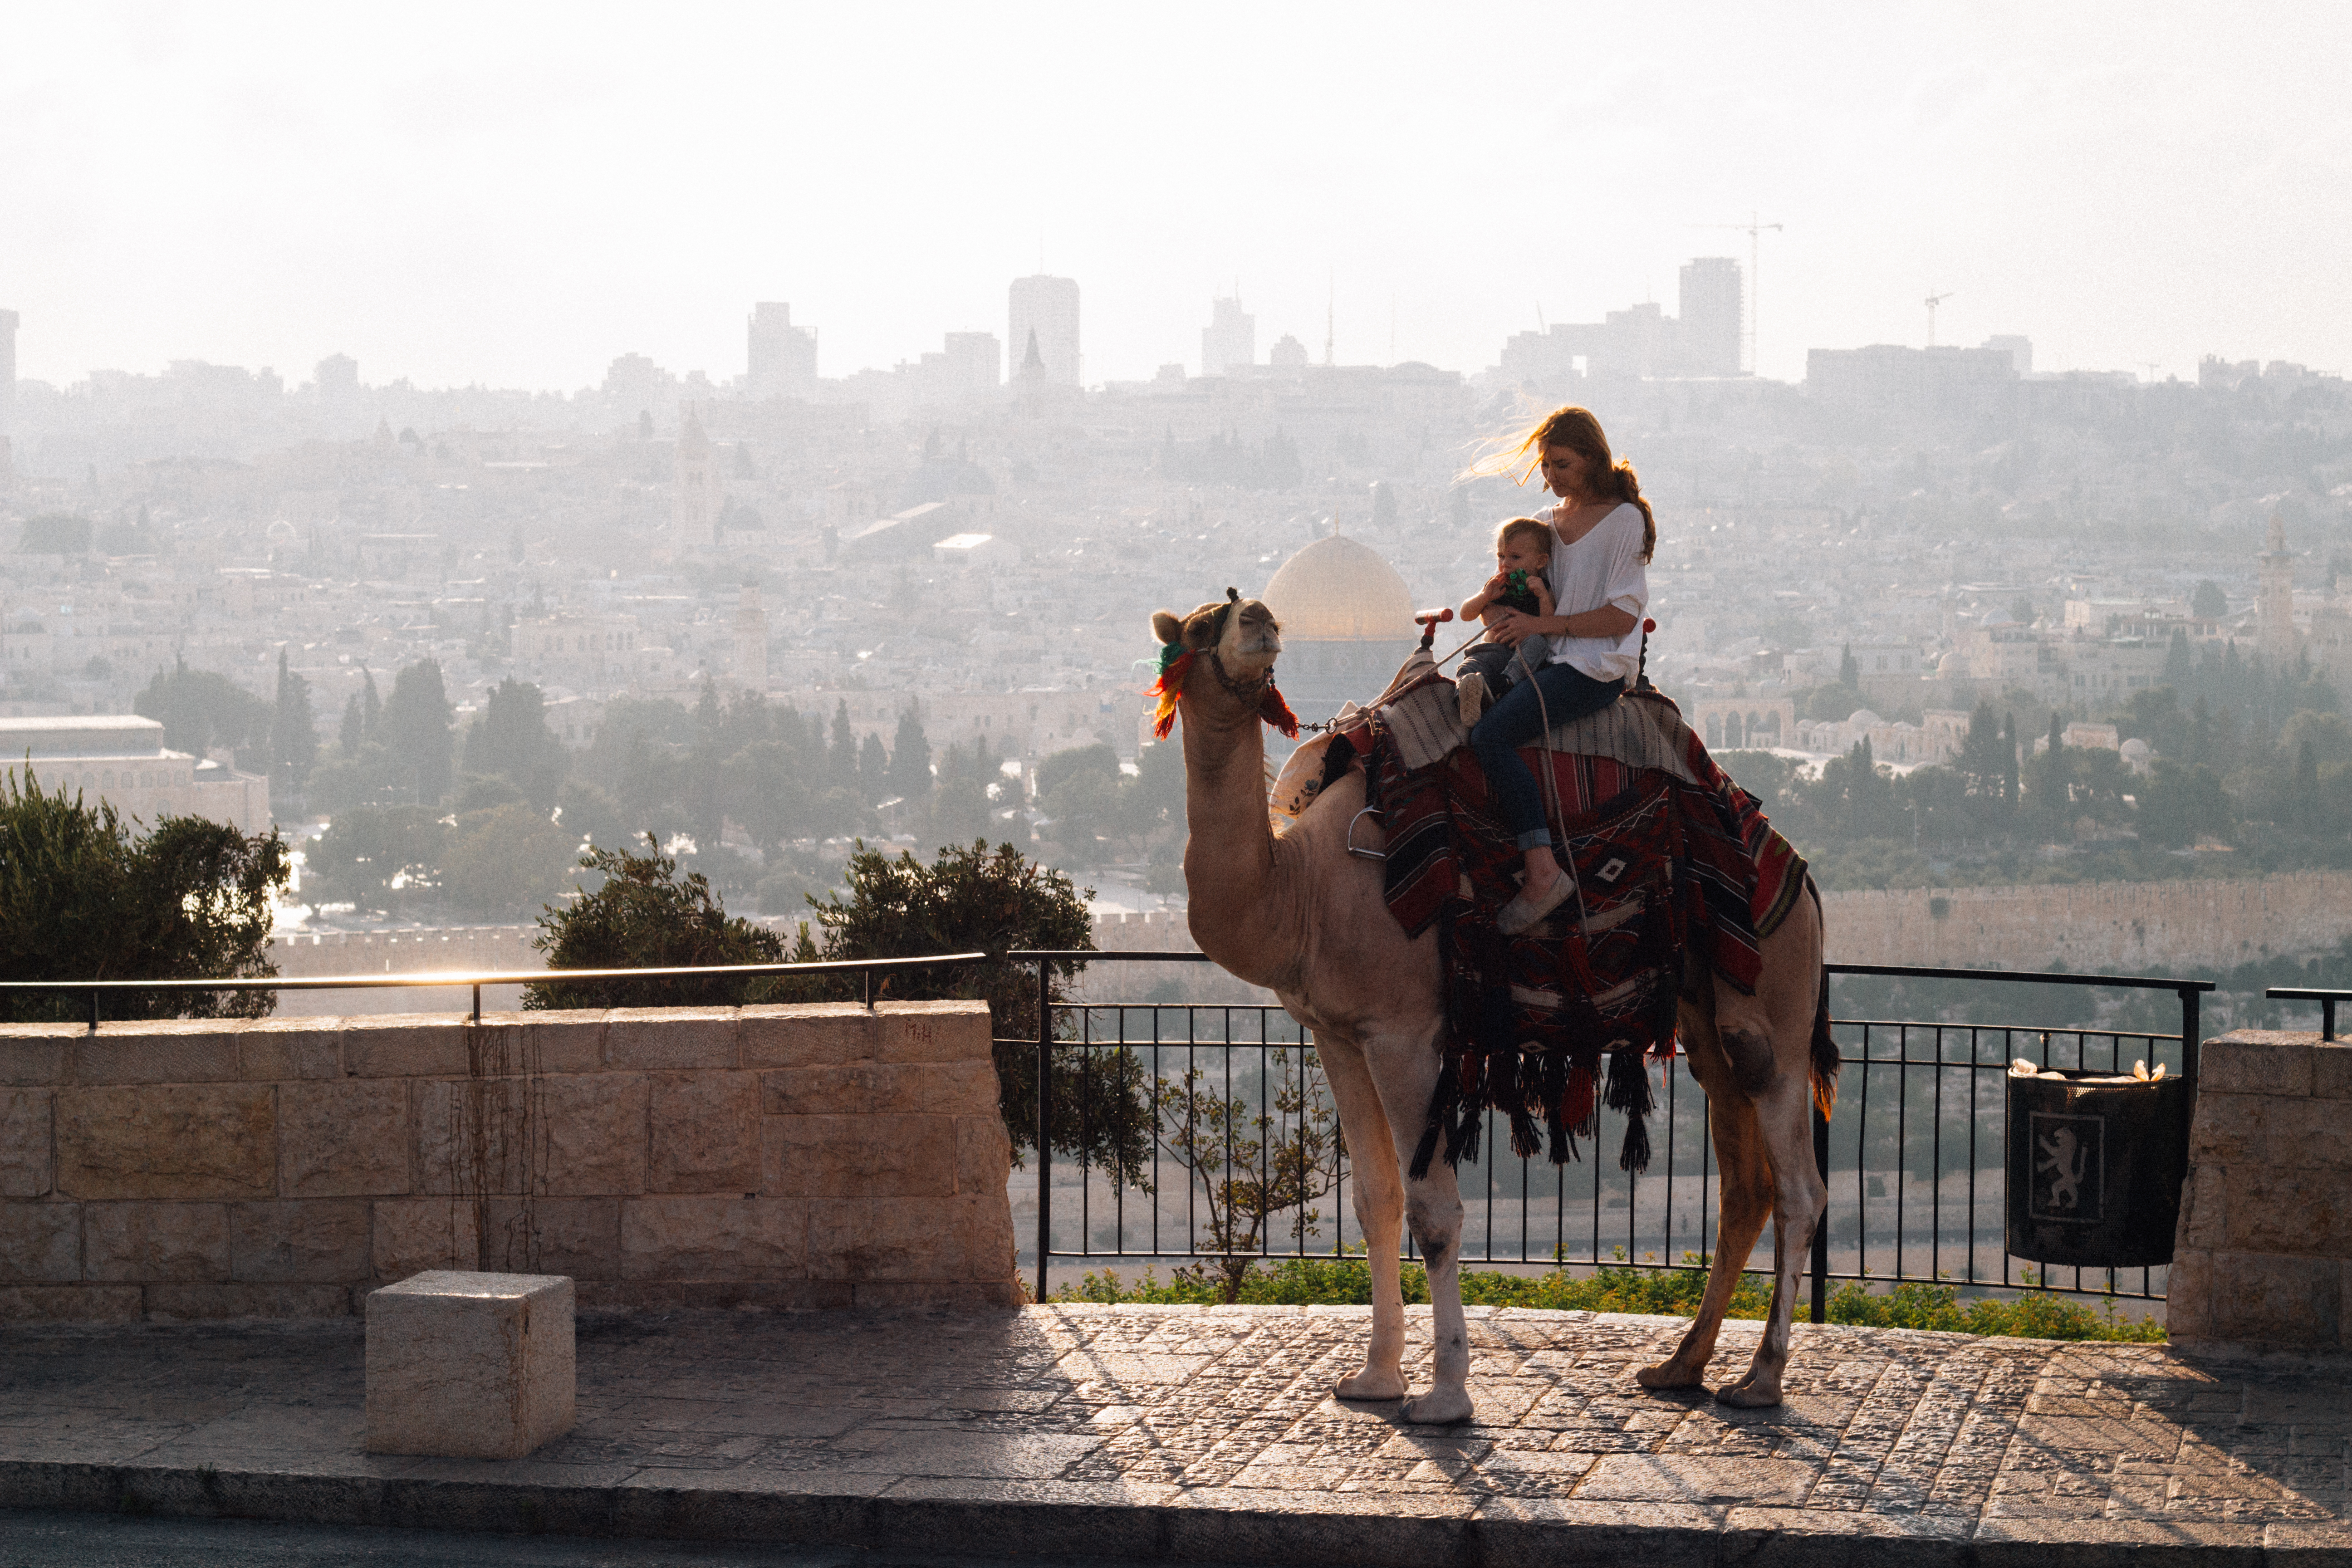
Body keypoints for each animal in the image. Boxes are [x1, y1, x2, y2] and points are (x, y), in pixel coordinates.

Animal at [1157, 592, 1834, 1420]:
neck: (1301, 887)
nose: (1257, 616)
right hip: (1706, 1016)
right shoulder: (1335, 1033)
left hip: (1771, 1001)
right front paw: (1374, 1377)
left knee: (1799, 1188)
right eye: (1199, 627)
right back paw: (1681, 1365)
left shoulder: (1405, 1036)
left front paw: (1445, 1393)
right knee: (1745, 1187)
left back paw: (1760, 1377)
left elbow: (1434, 1215)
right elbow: (1376, 1202)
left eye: (1235, 616)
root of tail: (1799, 876)